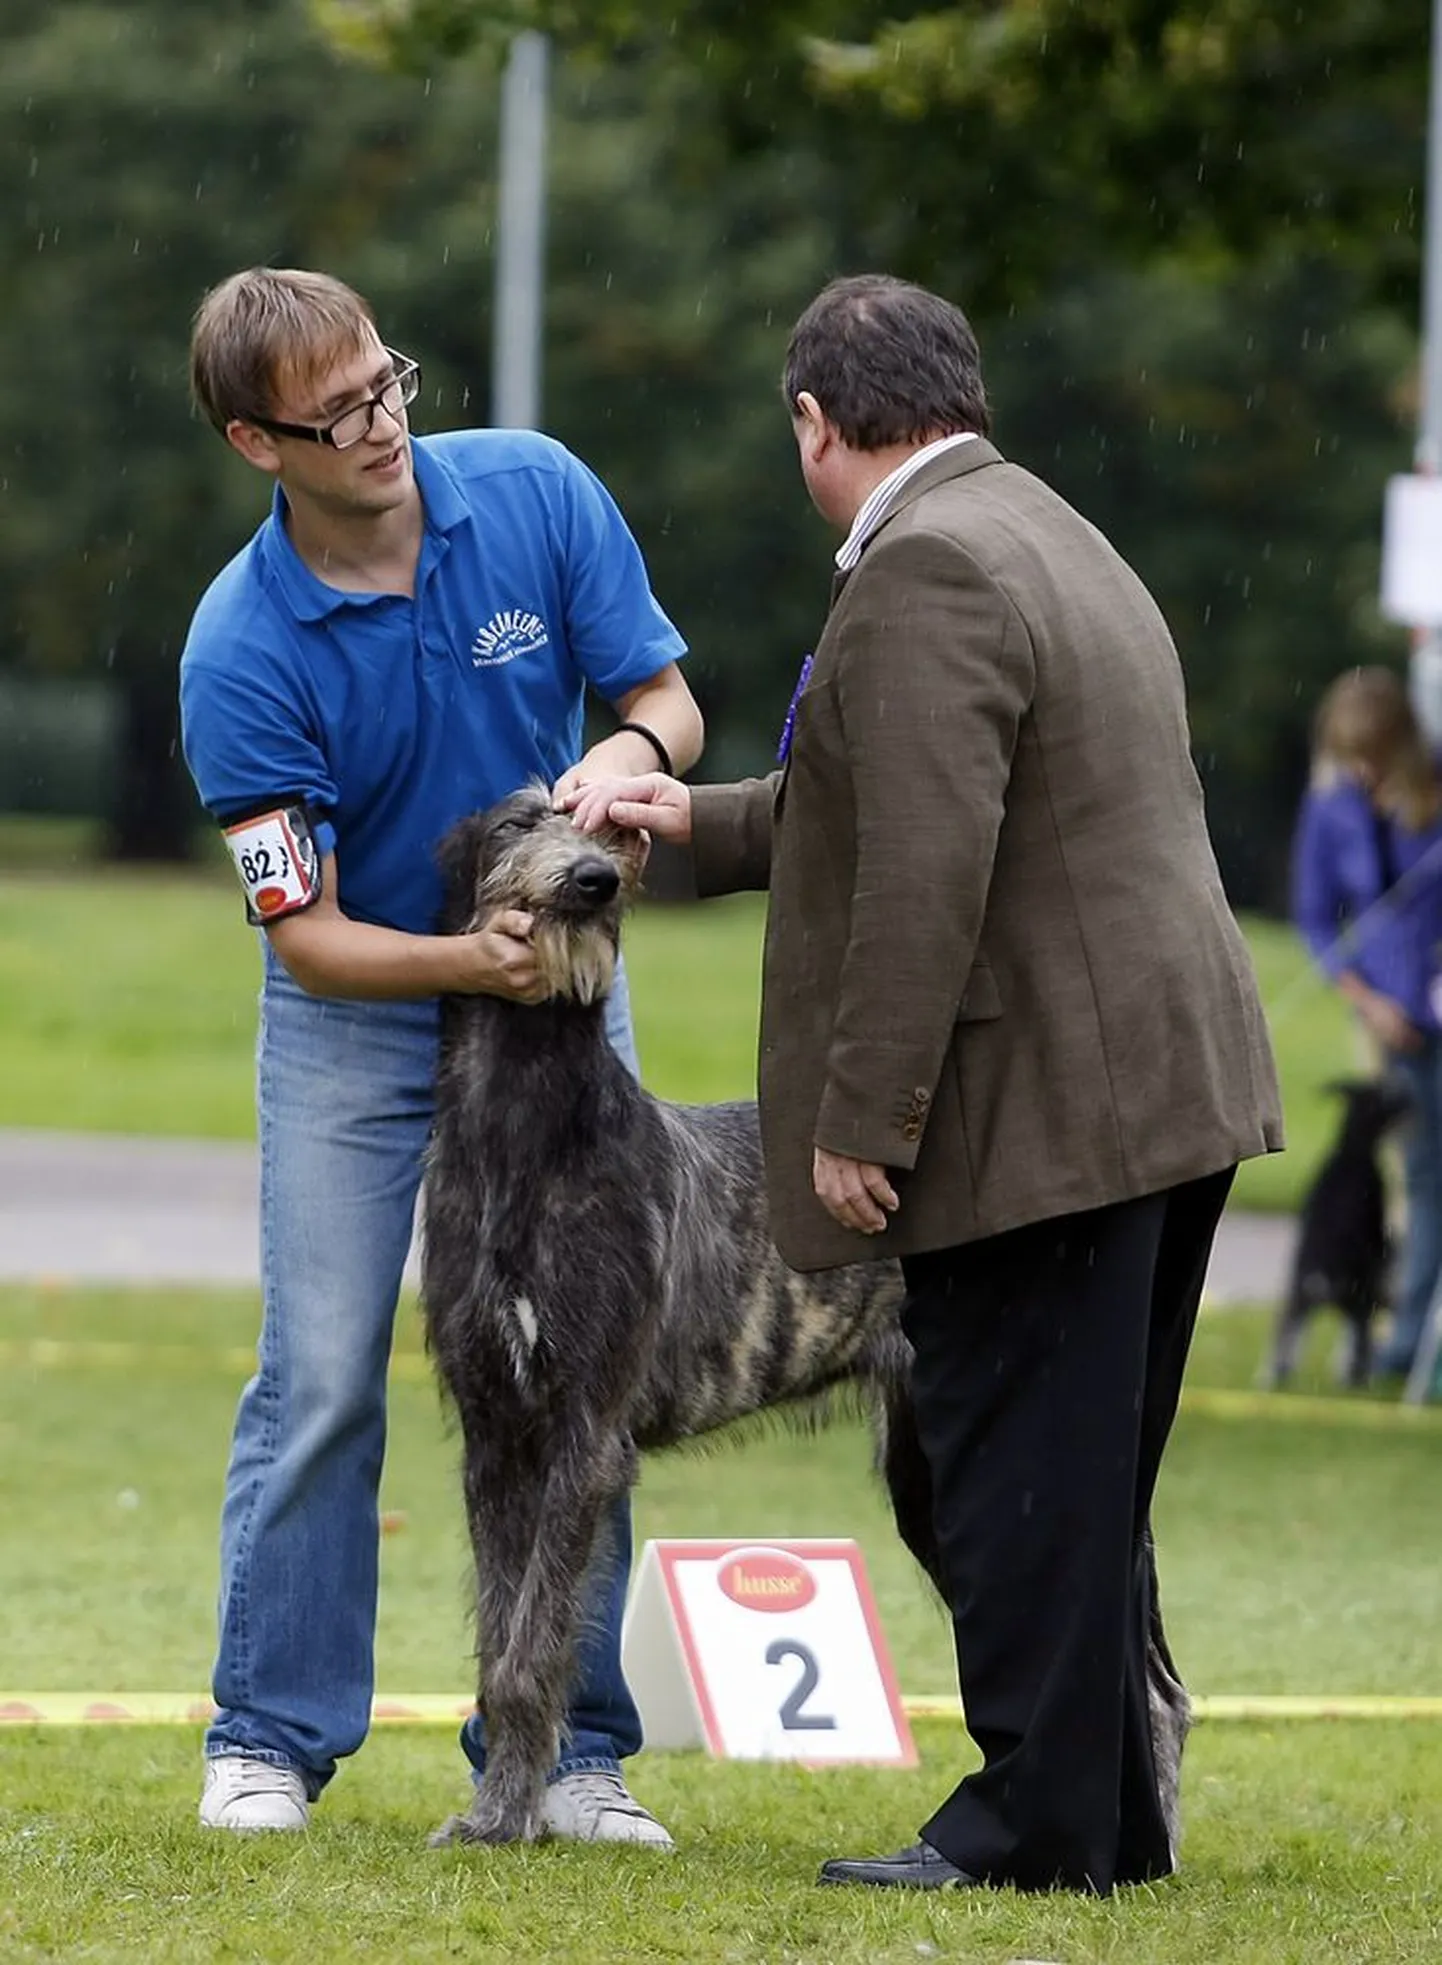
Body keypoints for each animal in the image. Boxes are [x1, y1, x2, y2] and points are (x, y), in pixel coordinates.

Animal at [1265, 1084, 1414, 1391]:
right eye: (1387, 1095)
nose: (1411, 1101)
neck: (1352, 1152)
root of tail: (1323, 1277)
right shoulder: (1377, 1239)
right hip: (1359, 1301)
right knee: (1360, 1343)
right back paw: (1359, 1381)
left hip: (1300, 1296)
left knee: (1287, 1337)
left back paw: (1275, 1378)